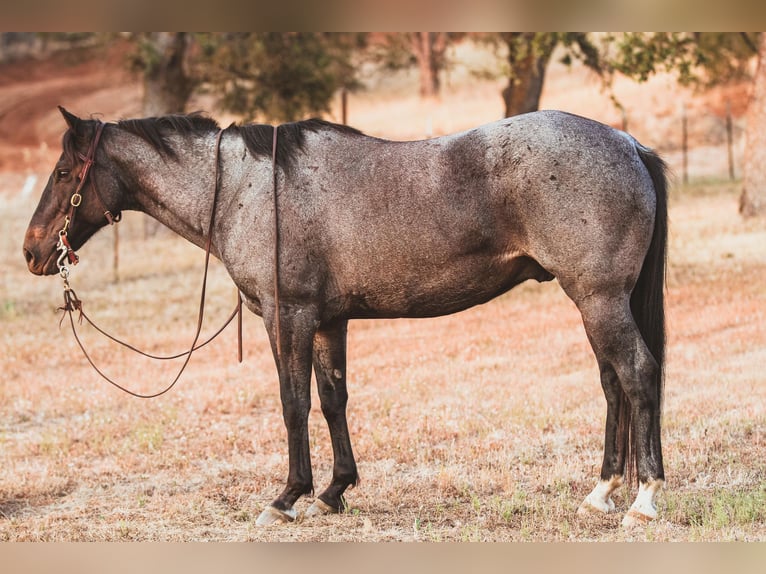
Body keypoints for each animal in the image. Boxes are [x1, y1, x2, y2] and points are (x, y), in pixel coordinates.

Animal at [23, 106, 667, 528]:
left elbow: (293, 403)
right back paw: (603, 491)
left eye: (63, 174)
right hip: (596, 303)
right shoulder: (329, 322)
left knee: (637, 375)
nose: (31, 252)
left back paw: (644, 499)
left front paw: (288, 496)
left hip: (600, 299)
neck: (248, 188)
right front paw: (335, 490)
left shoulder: (287, 317)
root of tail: (628, 143)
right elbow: (333, 400)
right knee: (613, 383)